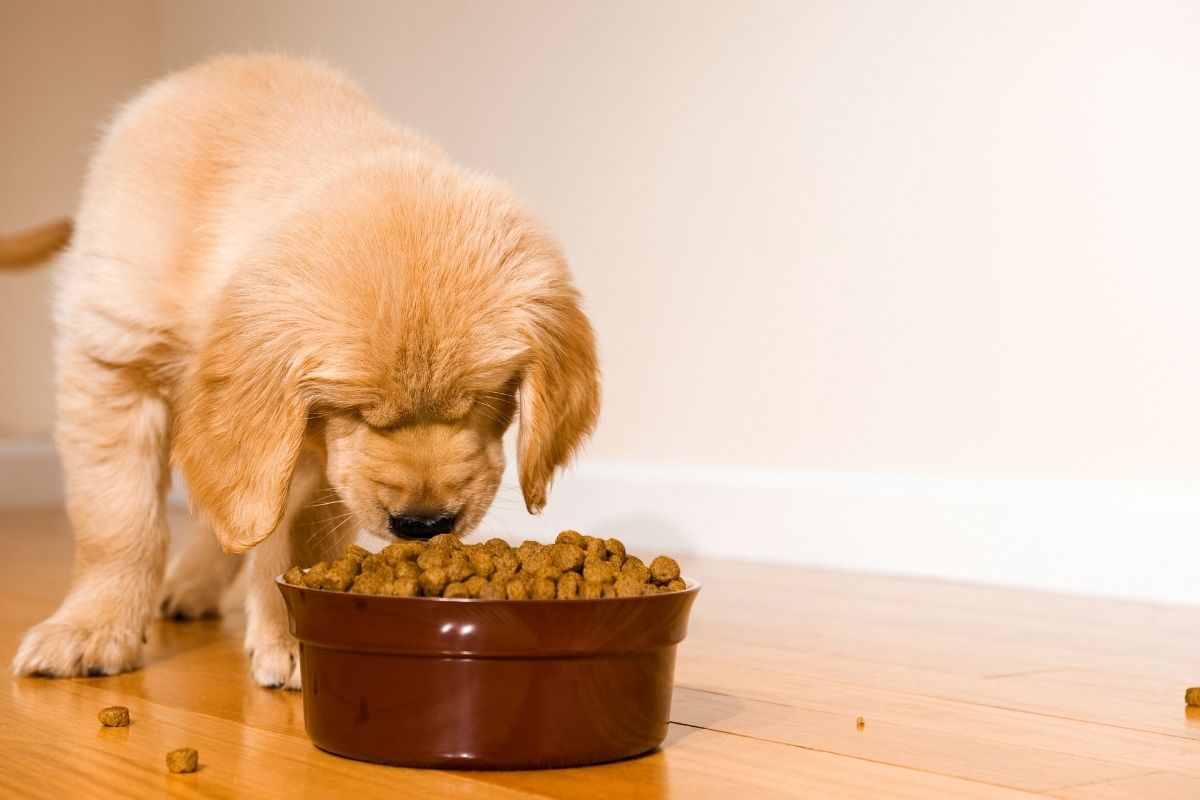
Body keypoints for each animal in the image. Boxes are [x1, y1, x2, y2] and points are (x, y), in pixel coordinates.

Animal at [9, 53, 600, 690]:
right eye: (355, 410)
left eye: (487, 399)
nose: (424, 525)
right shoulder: (113, 360)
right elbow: (118, 521)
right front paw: (92, 629)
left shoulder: (309, 449)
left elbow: (294, 532)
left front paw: (292, 634)